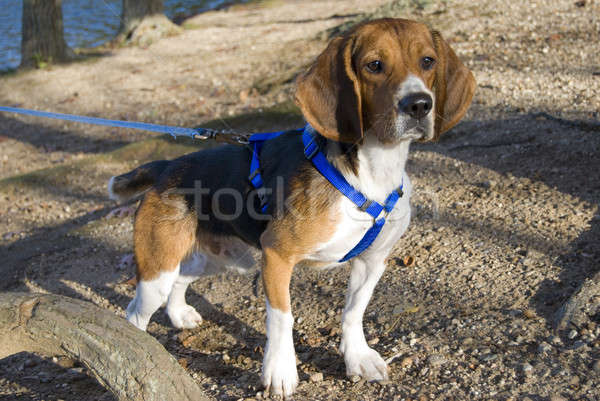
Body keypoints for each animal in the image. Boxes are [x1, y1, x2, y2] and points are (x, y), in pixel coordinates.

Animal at [106, 18, 474, 396]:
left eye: (428, 61)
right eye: (374, 65)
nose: (419, 104)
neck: (370, 171)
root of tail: (167, 167)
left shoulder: (373, 260)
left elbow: (354, 311)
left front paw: (357, 357)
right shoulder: (276, 256)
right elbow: (282, 318)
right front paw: (280, 371)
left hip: (216, 258)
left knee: (179, 282)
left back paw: (180, 315)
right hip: (160, 268)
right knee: (134, 313)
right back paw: (140, 348)